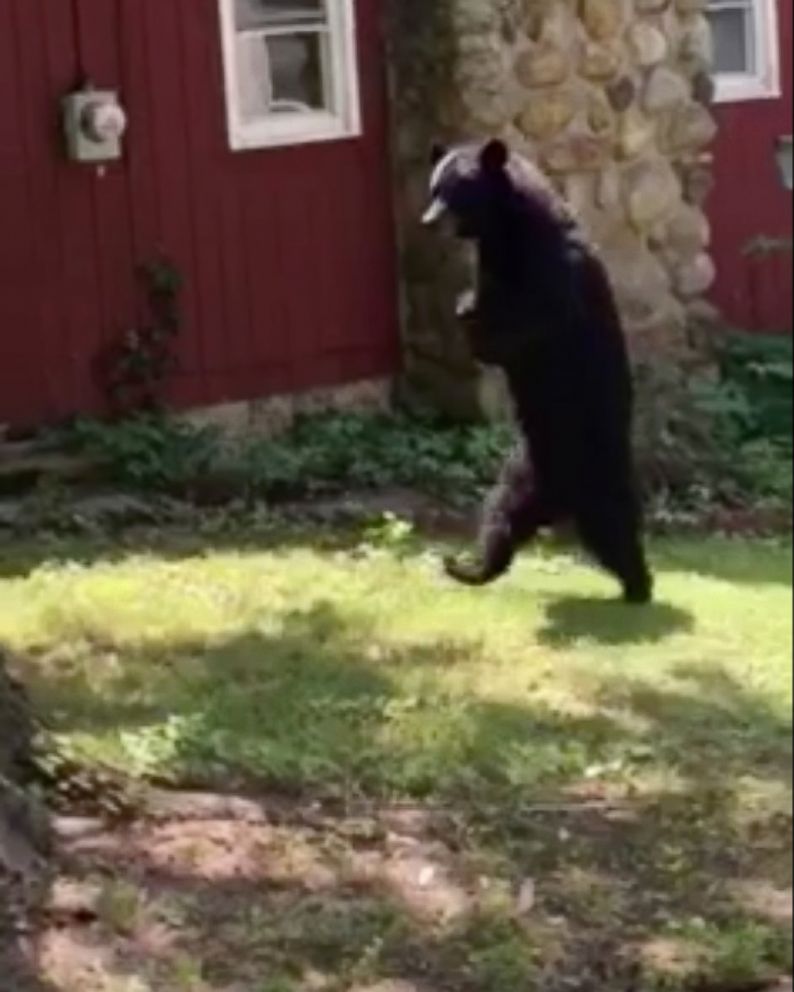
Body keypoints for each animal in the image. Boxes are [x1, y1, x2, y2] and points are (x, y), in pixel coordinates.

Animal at [424, 141, 652, 604]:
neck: (508, 231)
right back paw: (468, 567)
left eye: (456, 190)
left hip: (598, 474)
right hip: (520, 474)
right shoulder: (490, 263)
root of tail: (558, 499)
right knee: (500, 520)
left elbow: (524, 325)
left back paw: (639, 586)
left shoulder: (550, 274)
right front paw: (466, 307)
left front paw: (470, 312)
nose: (428, 220)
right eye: (434, 186)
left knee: (616, 530)